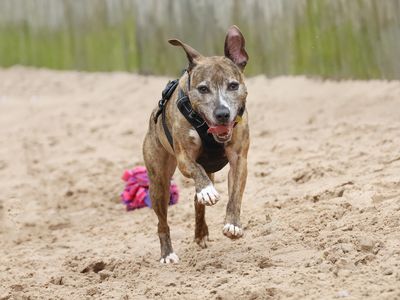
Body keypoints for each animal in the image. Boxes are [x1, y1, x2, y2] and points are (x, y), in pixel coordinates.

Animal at [142, 26, 248, 264]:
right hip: (159, 183)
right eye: (203, 89)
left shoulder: (239, 159)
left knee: (196, 201)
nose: (222, 113)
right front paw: (207, 191)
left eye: (233, 85)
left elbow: (235, 194)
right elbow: (196, 169)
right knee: (162, 222)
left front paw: (233, 224)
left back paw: (201, 233)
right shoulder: (184, 158)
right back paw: (168, 253)